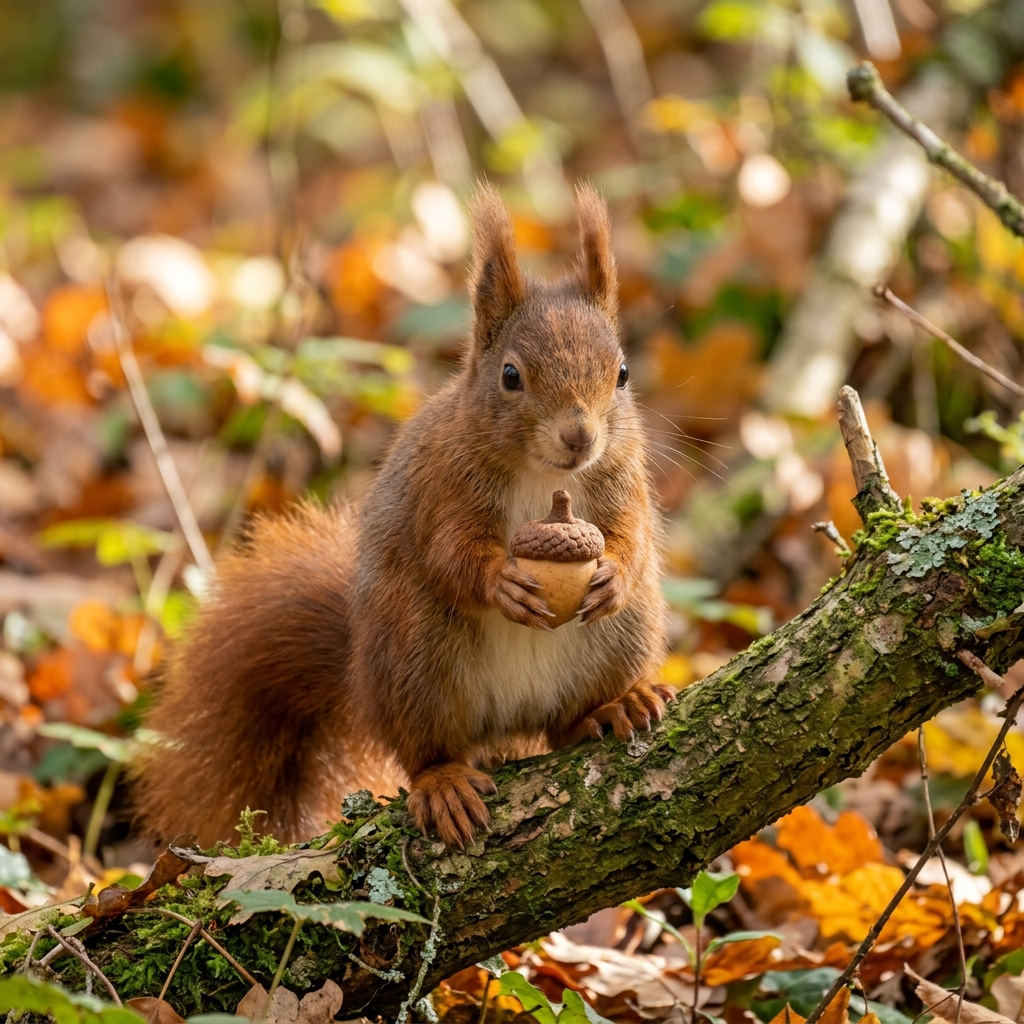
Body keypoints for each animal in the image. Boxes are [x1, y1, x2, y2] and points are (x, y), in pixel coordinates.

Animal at [132, 183, 672, 849]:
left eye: (622, 373)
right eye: (510, 375)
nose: (579, 437)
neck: (549, 479)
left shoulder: (622, 478)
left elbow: (632, 534)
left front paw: (613, 574)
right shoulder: (444, 485)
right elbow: (449, 553)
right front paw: (503, 582)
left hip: (624, 637)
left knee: (566, 723)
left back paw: (611, 707)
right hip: (416, 654)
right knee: (424, 749)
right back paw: (445, 782)